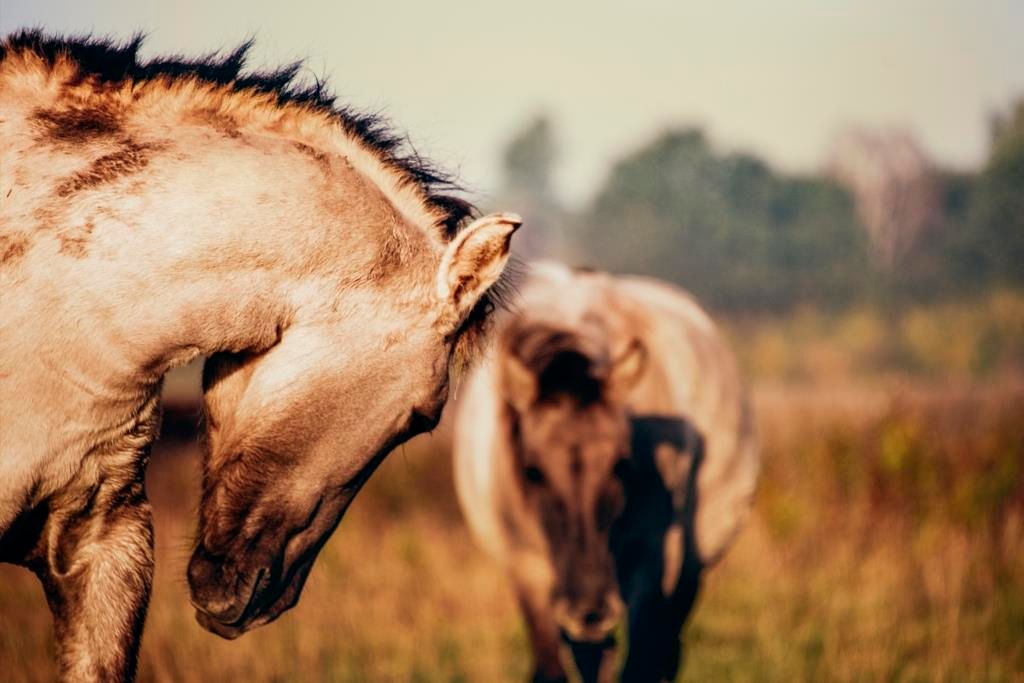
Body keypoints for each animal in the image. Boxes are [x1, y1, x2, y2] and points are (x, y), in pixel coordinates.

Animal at [452, 264, 757, 683]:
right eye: (532, 471)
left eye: (621, 465)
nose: (590, 608)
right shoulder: (527, 572)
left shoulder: (651, 567)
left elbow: (640, 664)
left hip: (691, 566)